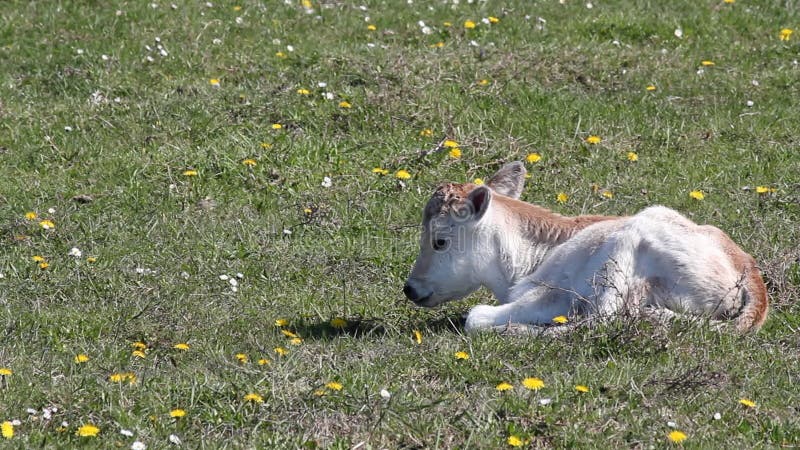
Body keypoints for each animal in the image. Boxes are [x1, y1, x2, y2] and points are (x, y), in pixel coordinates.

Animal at [406, 163, 768, 334]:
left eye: (440, 240)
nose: (410, 288)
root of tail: (748, 267)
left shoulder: (549, 295)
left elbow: (475, 316)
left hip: (626, 245)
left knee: (604, 318)